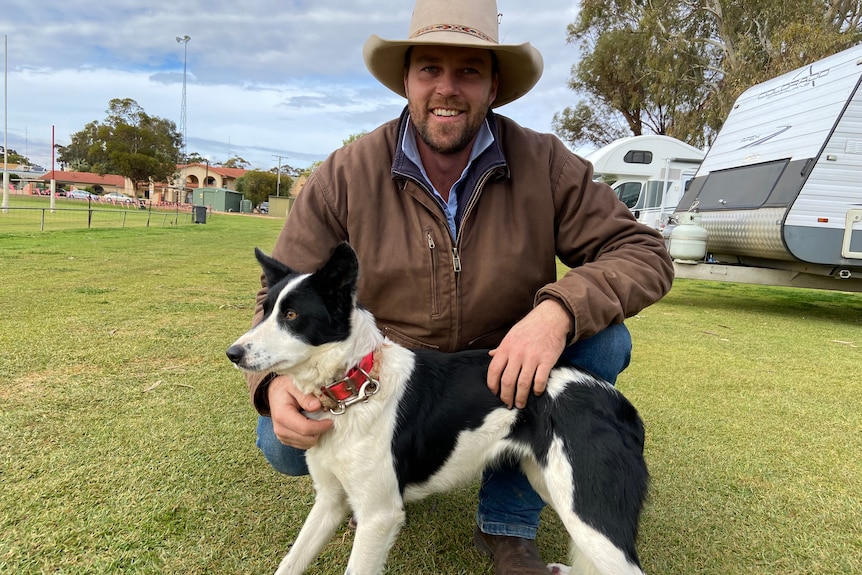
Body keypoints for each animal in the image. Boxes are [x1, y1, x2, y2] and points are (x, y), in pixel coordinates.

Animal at [228, 244, 648, 575]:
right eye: (265, 310)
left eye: (292, 316)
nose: (232, 353)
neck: (355, 384)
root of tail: (615, 400)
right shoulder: (330, 501)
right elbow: (291, 562)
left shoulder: (379, 516)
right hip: (548, 482)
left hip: (590, 515)